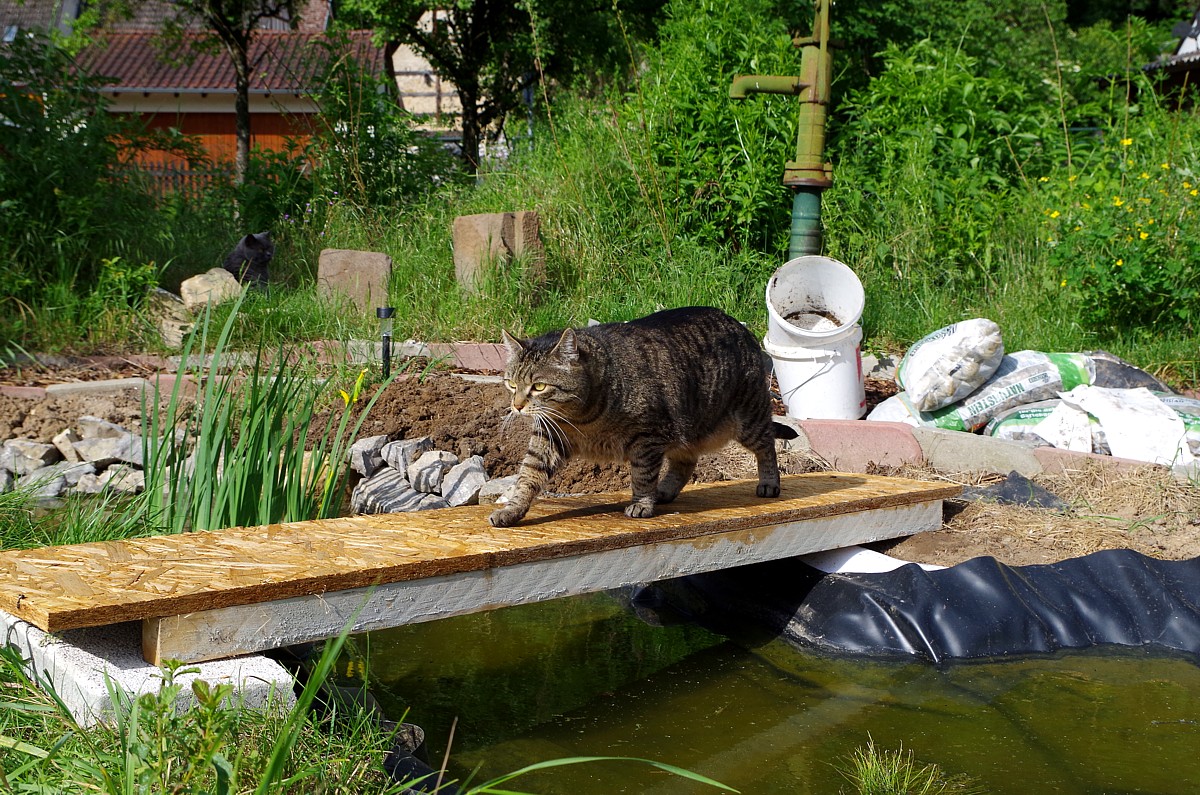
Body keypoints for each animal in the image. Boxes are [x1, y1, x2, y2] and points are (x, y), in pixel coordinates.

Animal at [487, 306, 787, 528]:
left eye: (539, 386)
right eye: (511, 384)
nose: (517, 406)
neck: (583, 416)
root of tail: (741, 326)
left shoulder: (648, 436)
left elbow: (642, 474)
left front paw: (642, 503)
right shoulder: (548, 437)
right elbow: (528, 475)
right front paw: (512, 509)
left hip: (749, 418)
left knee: (767, 445)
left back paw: (769, 483)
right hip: (688, 430)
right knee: (686, 462)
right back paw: (664, 491)